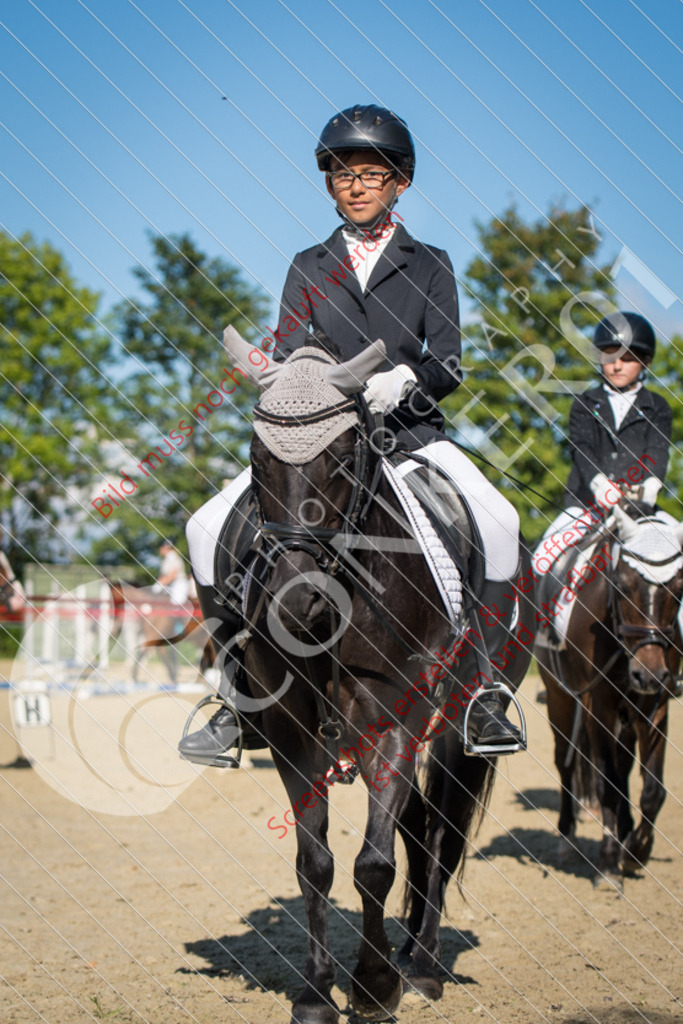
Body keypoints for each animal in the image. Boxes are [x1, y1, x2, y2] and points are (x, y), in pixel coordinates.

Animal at [223, 329, 532, 1024]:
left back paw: (421, 966)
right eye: (256, 458)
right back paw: (408, 950)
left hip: (456, 726)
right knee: (417, 829)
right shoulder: (291, 733)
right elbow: (315, 862)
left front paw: (371, 987)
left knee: (439, 832)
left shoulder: (394, 723)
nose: (296, 604)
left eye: (343, 458)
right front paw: (316, 993)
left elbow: (373, 865)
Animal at [540, 503, 683, 888]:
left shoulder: (655, 706)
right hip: (561, 699)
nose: (647, 674)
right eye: (622, 584)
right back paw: (568, 838)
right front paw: (608, 863)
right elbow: (607, 783)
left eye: (679, 587)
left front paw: (636, 851)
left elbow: (652, 790)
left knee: (622, 767)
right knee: (566, 762)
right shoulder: (598, 705)